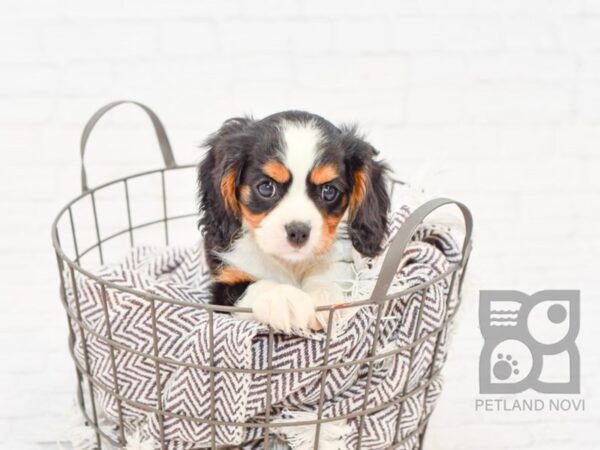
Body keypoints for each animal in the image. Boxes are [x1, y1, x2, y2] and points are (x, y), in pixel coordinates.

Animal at [199, 110, 392, 332]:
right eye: (266, 187)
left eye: (329, 191)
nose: (298, 232)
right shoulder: (224, 281)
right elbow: (255, 285)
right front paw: (284, 298)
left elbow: (331, 276)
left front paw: (323, 294)